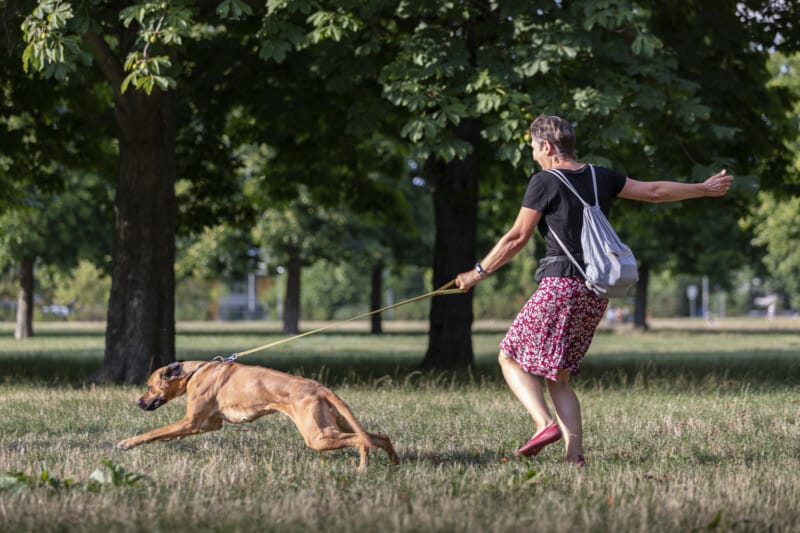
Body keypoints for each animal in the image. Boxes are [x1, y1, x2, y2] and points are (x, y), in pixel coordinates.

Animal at [114, 362, 398, 470]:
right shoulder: (206, 425)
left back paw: (362, 468)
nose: (138, 402)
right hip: (334, 426)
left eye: (150, 386)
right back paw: (394, 464)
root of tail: (320, 388)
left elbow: (154, 432)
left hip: (318, 436)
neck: (195, 371)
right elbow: (164, 435)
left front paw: (126, 443)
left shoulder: (192, 422)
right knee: (380, 437)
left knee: (362, 441)